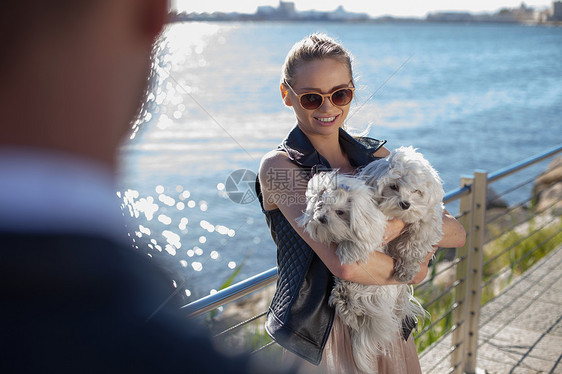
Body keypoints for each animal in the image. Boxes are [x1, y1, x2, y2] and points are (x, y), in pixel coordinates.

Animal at [296, 172, 422, 372]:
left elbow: (359, 242)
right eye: (321, 205)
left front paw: (347, 249)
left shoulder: (372, 230)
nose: (322, 219)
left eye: (340, 212)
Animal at [358, 146, 446, 284]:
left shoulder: (429, 219)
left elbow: (414, 244)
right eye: (393, 186)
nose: (405, 204)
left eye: (416, 190)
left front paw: (407, 270)